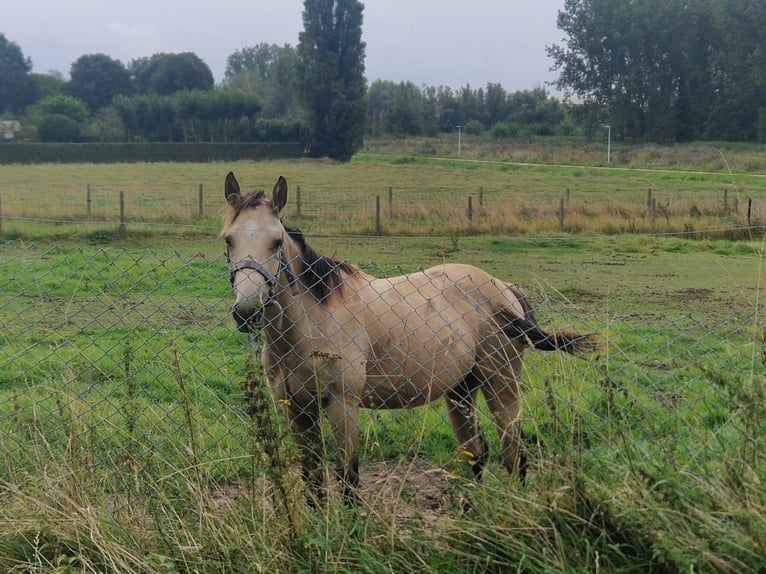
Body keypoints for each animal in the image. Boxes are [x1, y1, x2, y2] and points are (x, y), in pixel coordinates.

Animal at [222, 172, 592, 504]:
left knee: (513, 453)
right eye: (228, 239)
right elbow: (311, 478)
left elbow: (347, 477)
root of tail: (505, 289)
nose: (247, 312)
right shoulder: (298, 410)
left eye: (276, 242)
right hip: (461, 390)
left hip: (501, 384)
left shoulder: (343, 406)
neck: (312, 322)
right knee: (477, 452)